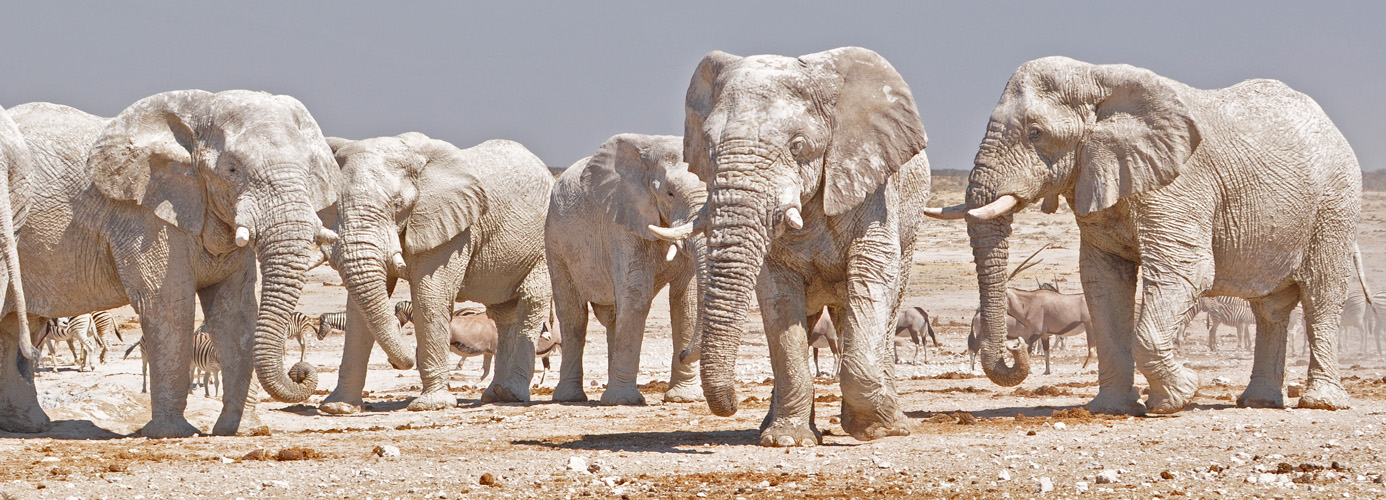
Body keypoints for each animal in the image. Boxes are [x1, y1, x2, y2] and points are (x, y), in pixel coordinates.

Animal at [4, 94, 339, 437]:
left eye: (310, 171)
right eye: (232, 169)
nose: (300, 372)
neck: (198, 115)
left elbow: (235, 310)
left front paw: (243, 430)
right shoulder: (144, 219)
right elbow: (168, 306)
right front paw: (174, 432)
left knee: (19, 327)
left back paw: (29, 425)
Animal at [317, 132, 551, 412]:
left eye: (398, 204)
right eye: (334, 207)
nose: (400, 362)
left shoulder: (451, 226)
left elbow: (430, 295)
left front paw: (431, 405)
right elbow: (358, 309)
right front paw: (338, 407)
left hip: (545, 243)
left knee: (531, 303)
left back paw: (512, 395)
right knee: (504, 314)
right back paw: (495, 395)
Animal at [543, 133, 704, 404]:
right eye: (670, 193)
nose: (683, 353)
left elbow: (686, 301)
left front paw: (684, 398)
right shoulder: (621, 222)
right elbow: (636, 296)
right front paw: (625, 401)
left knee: (614, 317)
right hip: (555, 243)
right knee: (574, 316)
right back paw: (571, 397)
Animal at [654, 46, 936, 443]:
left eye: (798, 146)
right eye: (708, 147)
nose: (733, 403)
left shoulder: (873, 187)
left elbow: (873, 273)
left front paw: (878, 429)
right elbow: (778, 298)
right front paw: (786, 438)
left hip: (911, 228)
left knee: (883, 304)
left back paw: (888, 420)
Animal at [925, 55, 1369, 412]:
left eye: (1035, 133)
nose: (1016, 348)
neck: (1098, 79)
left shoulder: (1180, 185)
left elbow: (1187, 271)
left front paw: (1178, 397)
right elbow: (1102, 281)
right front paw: (1111, 408)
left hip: (1335, 203)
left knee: (1321, 293)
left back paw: (1321, 403)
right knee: (1270, 308)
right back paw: (1258, 402)